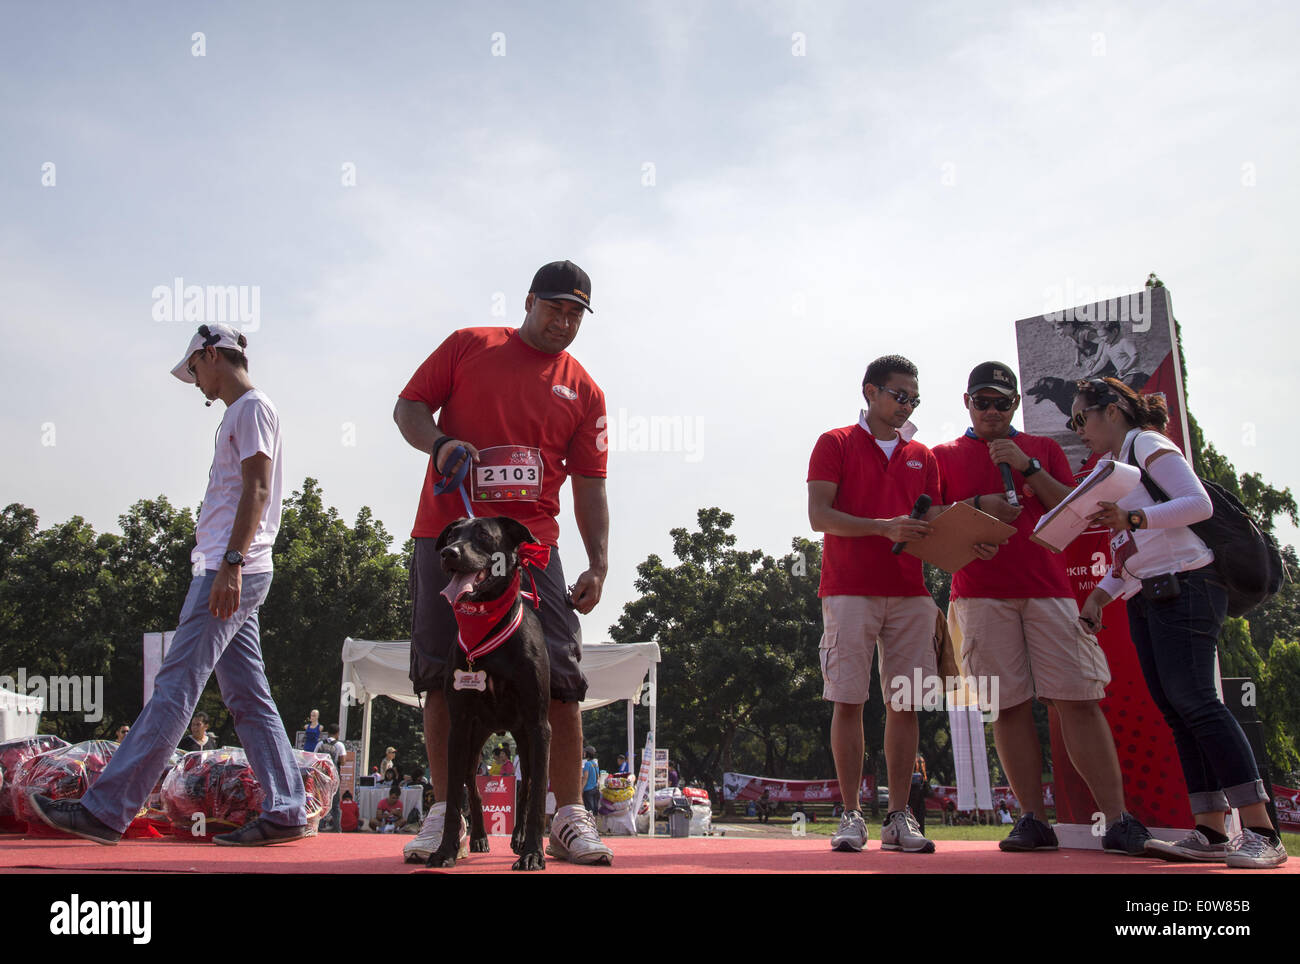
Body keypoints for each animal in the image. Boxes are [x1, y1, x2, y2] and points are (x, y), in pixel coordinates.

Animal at [426, 522, 548, 878]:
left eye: (483, 535)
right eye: (452, 536)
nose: (448, 553)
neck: (488, 627)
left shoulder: (538, 725)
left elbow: (537, 798)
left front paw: (533, 854)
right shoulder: (459, 726)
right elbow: (455, 797)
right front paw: (445, 851)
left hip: (525, 741)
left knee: (527, 789)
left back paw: (518, 839)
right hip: (475, 739)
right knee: (472, 785)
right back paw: (479, 837)